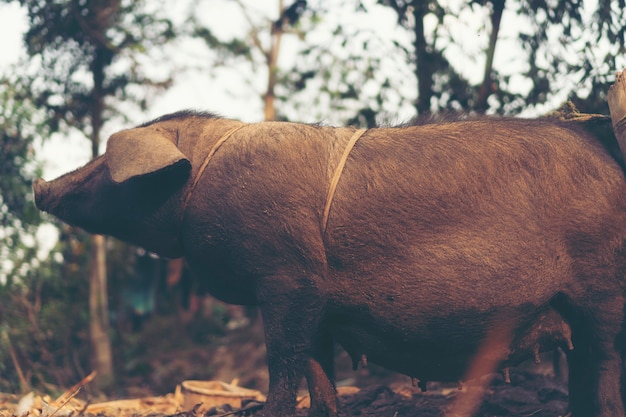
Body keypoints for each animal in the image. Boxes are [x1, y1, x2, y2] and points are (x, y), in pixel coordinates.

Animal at [35, 71, 626, 416]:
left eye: (100, 165)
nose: (40, 185)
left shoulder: (288, 276)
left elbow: (282, 361)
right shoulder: (318, 298)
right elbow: (318, 370)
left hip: (602, 291)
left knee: (603, 366)